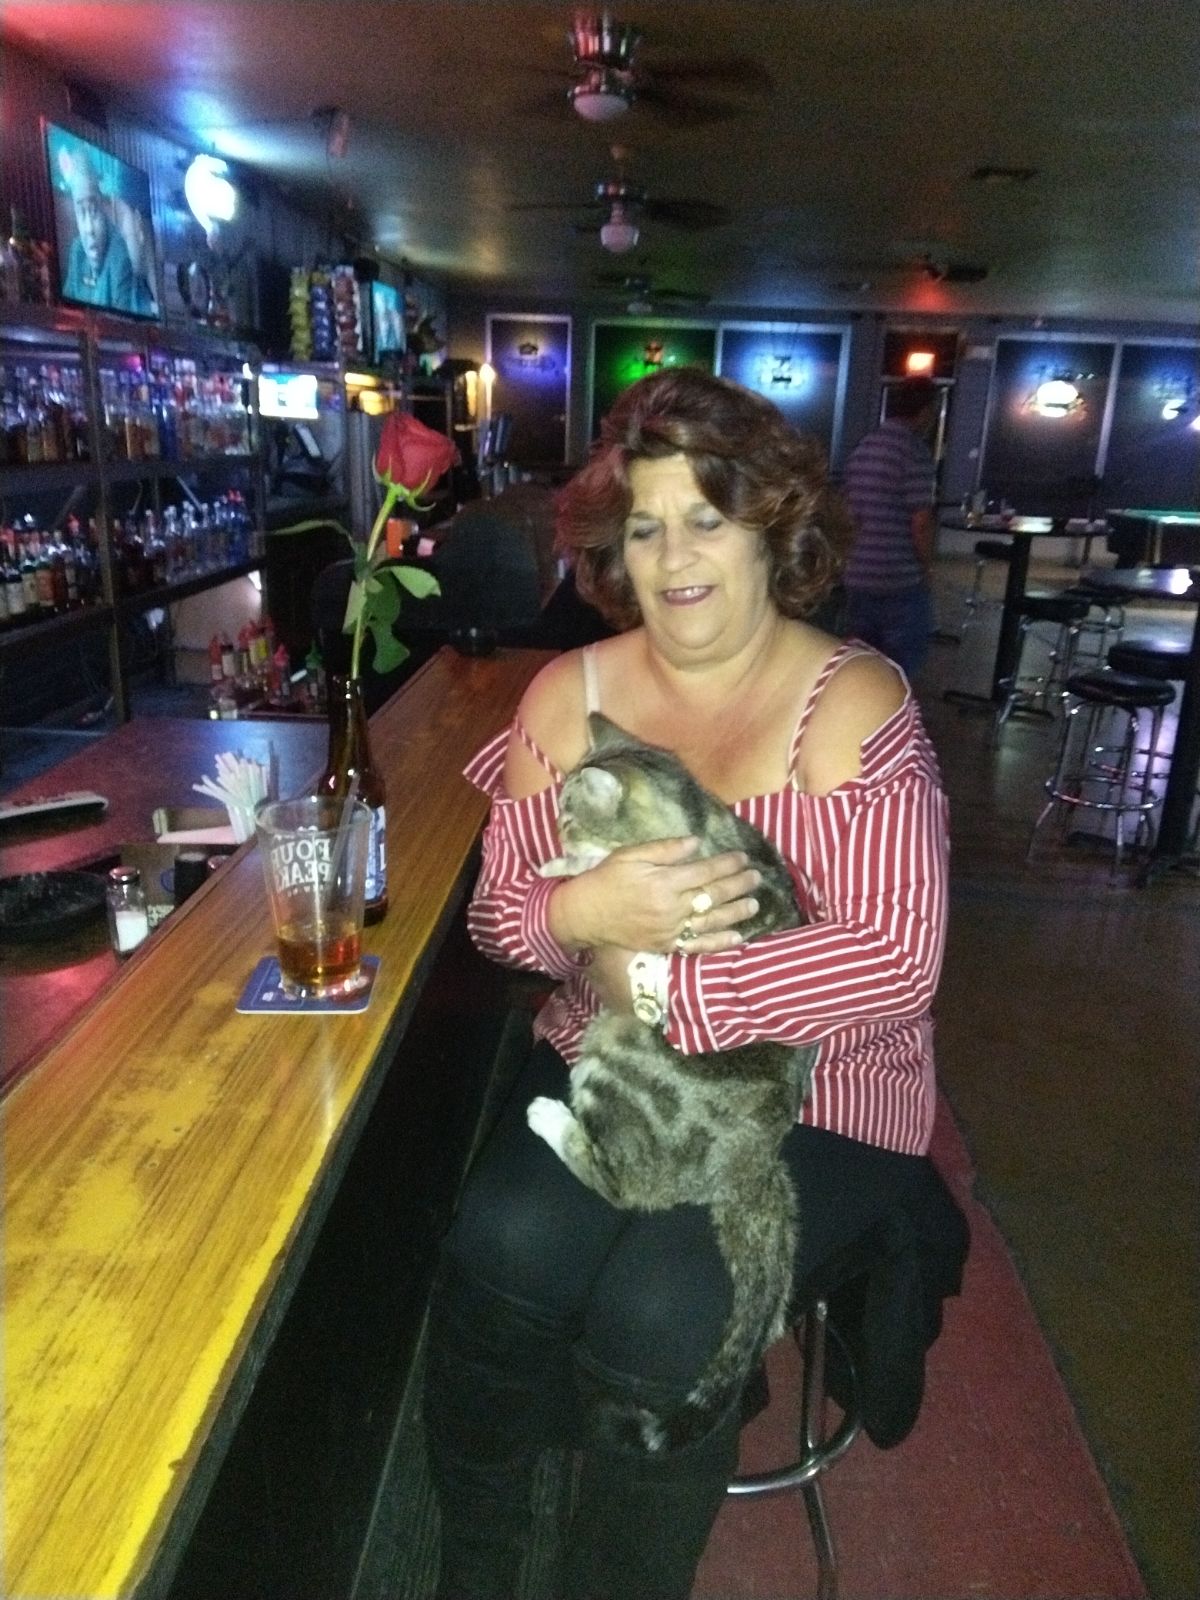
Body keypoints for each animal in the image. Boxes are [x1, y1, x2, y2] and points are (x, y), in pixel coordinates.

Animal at [527, 712, 816, 1452]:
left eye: (567, 815)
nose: (556, 835)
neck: (697, 822)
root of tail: (753, 1164)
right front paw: (562, 869)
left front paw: (569, 863)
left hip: (613, 1053)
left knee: (621, 1183)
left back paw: (548, 1115)